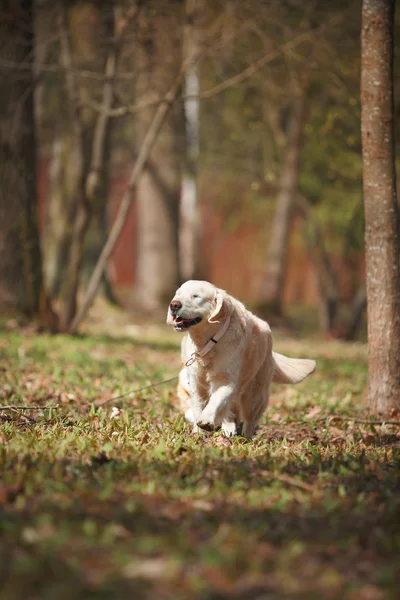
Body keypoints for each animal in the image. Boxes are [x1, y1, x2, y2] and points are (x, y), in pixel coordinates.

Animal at [166, 278, 316, 438]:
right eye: (178, 294)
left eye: (196, 296)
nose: (174, 304)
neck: (209, 341)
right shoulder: (196, 382)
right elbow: (198, 405)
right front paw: (198, 432)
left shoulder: (226, 381)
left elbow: (216, 401)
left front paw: (206, 420)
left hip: (255, 394)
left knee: (249, 421)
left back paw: (244, 437)